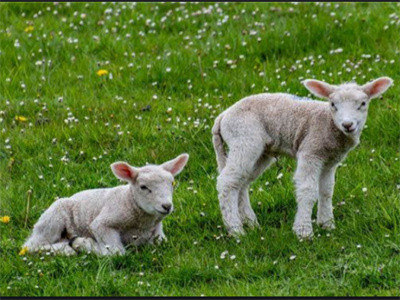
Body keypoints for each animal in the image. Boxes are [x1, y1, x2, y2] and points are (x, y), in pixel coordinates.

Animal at [22, 155, 190, 255]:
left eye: (172, 183)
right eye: (143, 187)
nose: (167, 206)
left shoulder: (158, 235)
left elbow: (161, 243)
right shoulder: (103, 223)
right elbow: (116, 252)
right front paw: (85, 244)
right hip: (53, 219)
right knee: (32, 245)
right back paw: (67, 249)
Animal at [212, 77, 394, 239]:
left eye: (363, 104)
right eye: (333, 105)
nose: (347, 125)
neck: (328, 124)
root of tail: (223, 116)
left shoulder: (330, 161)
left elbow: (326, 191)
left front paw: (327, 224)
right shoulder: (310, 151)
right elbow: (308, 190)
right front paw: (304, 232)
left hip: (260, 151)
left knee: (241, 182)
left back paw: (251, 223)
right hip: (244, 139)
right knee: (227, 182)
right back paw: (236, 230)